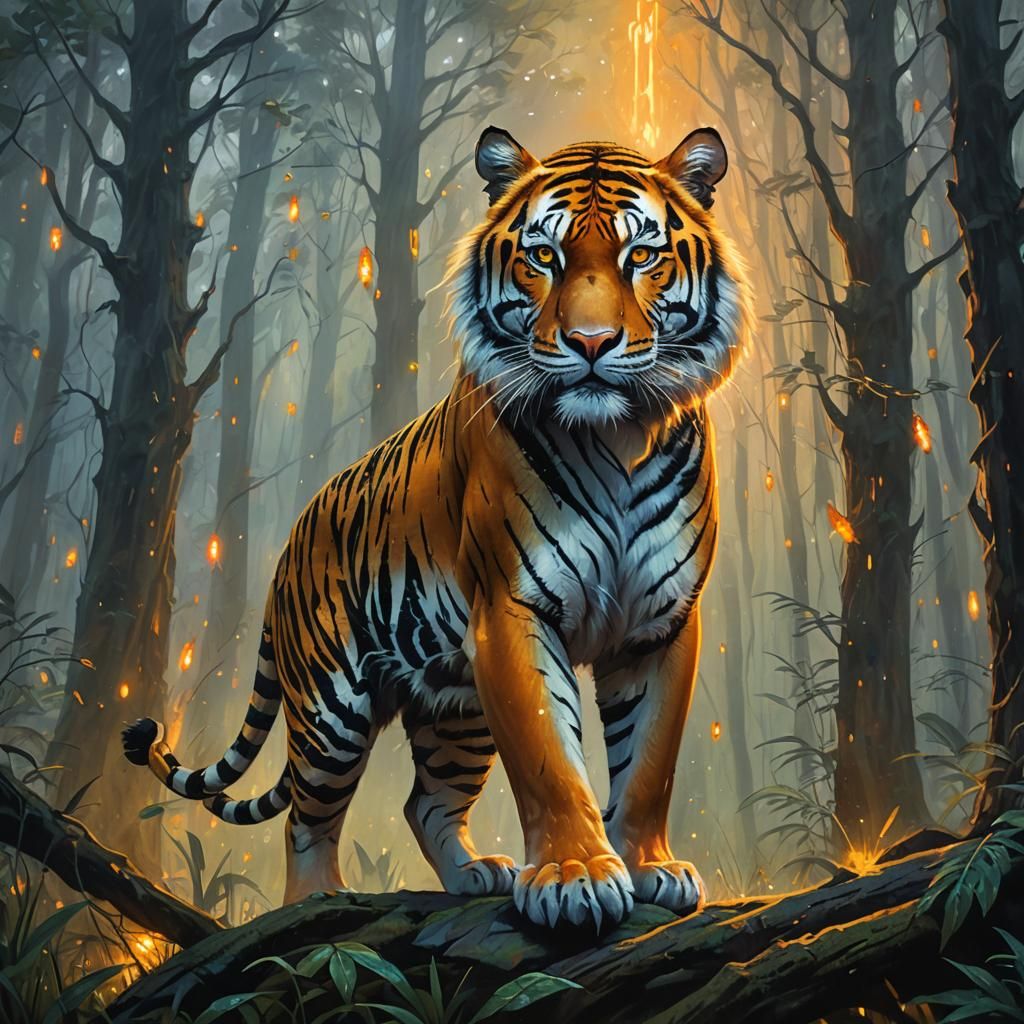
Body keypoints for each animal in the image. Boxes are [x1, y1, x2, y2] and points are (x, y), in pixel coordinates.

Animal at [123, 124, 749, 931]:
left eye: (640, 256)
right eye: (543, 256)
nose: (590, 342)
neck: (617, 436)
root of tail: (290, 537)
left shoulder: (661, 623)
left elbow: (649, 763)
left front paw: (651, 869)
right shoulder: (513, 609)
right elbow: (551, 759)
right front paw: (574, 877)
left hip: (457, 705)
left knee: (425, 803)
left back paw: (476, 875)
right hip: (331, 708)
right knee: (305, 818)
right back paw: (318, 904)